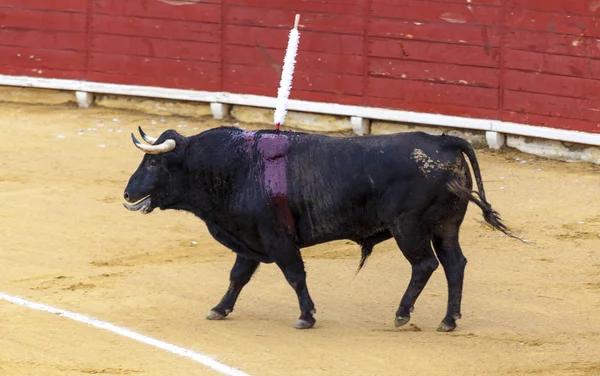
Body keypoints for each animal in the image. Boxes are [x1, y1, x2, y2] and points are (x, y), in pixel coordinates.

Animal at [123, 127, 520, 332]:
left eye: (153, 162)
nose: (127, 193)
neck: (234, 166)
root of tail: (443, 140)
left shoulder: (277, 239)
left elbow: (295, 276)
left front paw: (306, 316)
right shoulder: (250, 240)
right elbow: (237, 276)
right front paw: (219, 309)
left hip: (408, 227)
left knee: (425, 265)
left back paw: (403, 314)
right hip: (446, 227)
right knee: (455, 265)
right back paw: (449, 320)